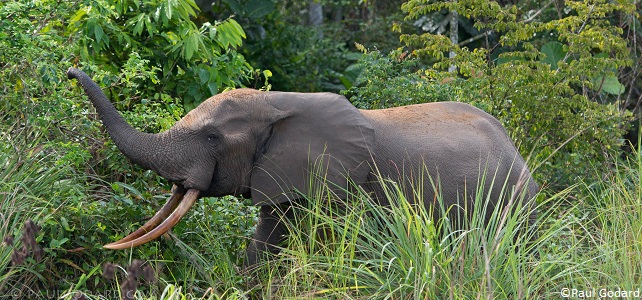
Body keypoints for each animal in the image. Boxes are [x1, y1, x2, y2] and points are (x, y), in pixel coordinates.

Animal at [66, 67, 536, 266]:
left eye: (213, 138)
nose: (72, 72)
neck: (278, 102)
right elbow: (264, 245)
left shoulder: (344, 187)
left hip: (515, 206)